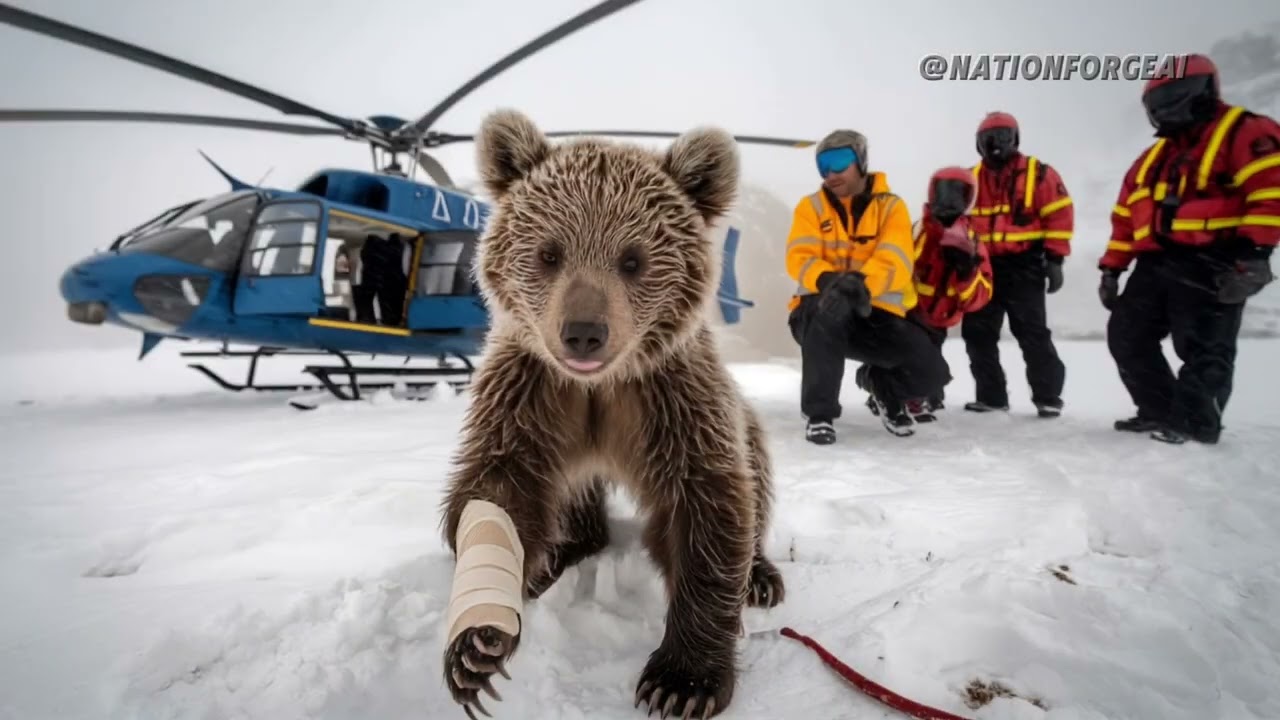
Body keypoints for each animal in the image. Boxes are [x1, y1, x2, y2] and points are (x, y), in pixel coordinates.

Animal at [437, 107, 785, 720]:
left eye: (633, 259)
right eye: (549, 253)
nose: (583, 331)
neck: (599, 387)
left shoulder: (672, 401)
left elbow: (708, 511)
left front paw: (682, 681)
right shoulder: (530, 395)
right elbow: (495, 492)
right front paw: (477, 646)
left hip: (741, 419)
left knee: (758, 479)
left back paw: (762, 576)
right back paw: (559, 554)